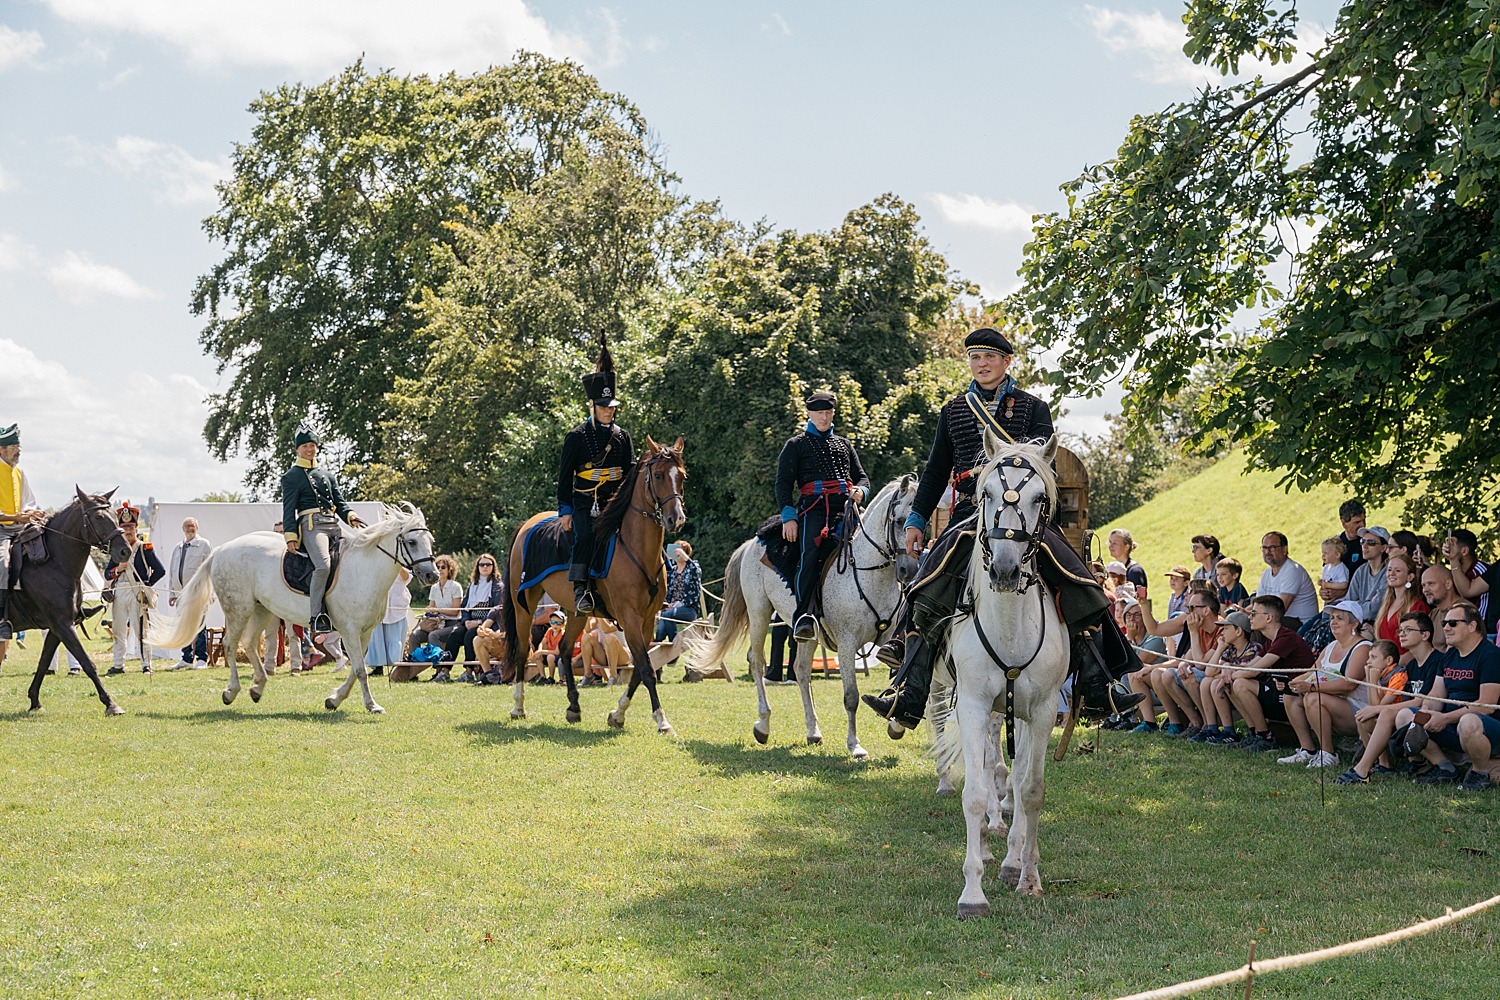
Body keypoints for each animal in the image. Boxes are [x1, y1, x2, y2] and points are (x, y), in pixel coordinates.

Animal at [5, 488, 131, 716]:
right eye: (98, 517)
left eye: (114, 516)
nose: (125, 551)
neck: (54, 563)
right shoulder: (62, 625)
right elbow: (87, 662)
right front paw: (110, 703)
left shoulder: (57, 627)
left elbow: (43, 662)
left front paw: (35, 701)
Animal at [153, 509, 438, 710]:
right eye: (412, 542)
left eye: (430, 540)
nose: (432, 575)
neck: (364, 569)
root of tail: (221, 549)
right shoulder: (349, 631)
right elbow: (358, 669)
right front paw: (371, 705)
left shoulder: (365, 632)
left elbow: (357, 669)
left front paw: (334, 700)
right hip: (238, 610)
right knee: (231, 645)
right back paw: (231, 691)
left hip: (261, 610)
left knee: (250, 642)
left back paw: (257, 688)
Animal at [504, 437, 690, 734]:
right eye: (659, 475)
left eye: (681, 476)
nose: (676, 519)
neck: (636, 550)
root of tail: (528, 525)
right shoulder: (630, 618)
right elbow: (646, 669)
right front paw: (662, 720)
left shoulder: (648, 620)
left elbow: (640, 669)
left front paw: (618, 714)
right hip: (525, 603)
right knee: (523, 651)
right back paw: (518, 707)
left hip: (575, 611)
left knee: (564, 649)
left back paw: (573, 706)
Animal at [687, 476, 912, 758]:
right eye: (900, 520)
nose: (909, 569)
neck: (868, 572)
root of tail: (752, 543)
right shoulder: (847, 644)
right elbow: (851, 696)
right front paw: (855, 745)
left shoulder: (889, 640)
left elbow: (903, 677)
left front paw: (896, 723)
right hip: (759, 613)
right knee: (757, 662)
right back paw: (763, 725)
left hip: (807, 633)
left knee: (801, 671)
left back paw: (813, 731)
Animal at [930, 434, 1074, 917]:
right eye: (987, 493)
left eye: (1040, 499)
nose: (1006, 570)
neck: (1010, 625)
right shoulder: (974, 705)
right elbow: (975, 793)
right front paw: (972, 893)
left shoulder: (1043, 712)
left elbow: (1030, 790)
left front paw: (1026, 874)